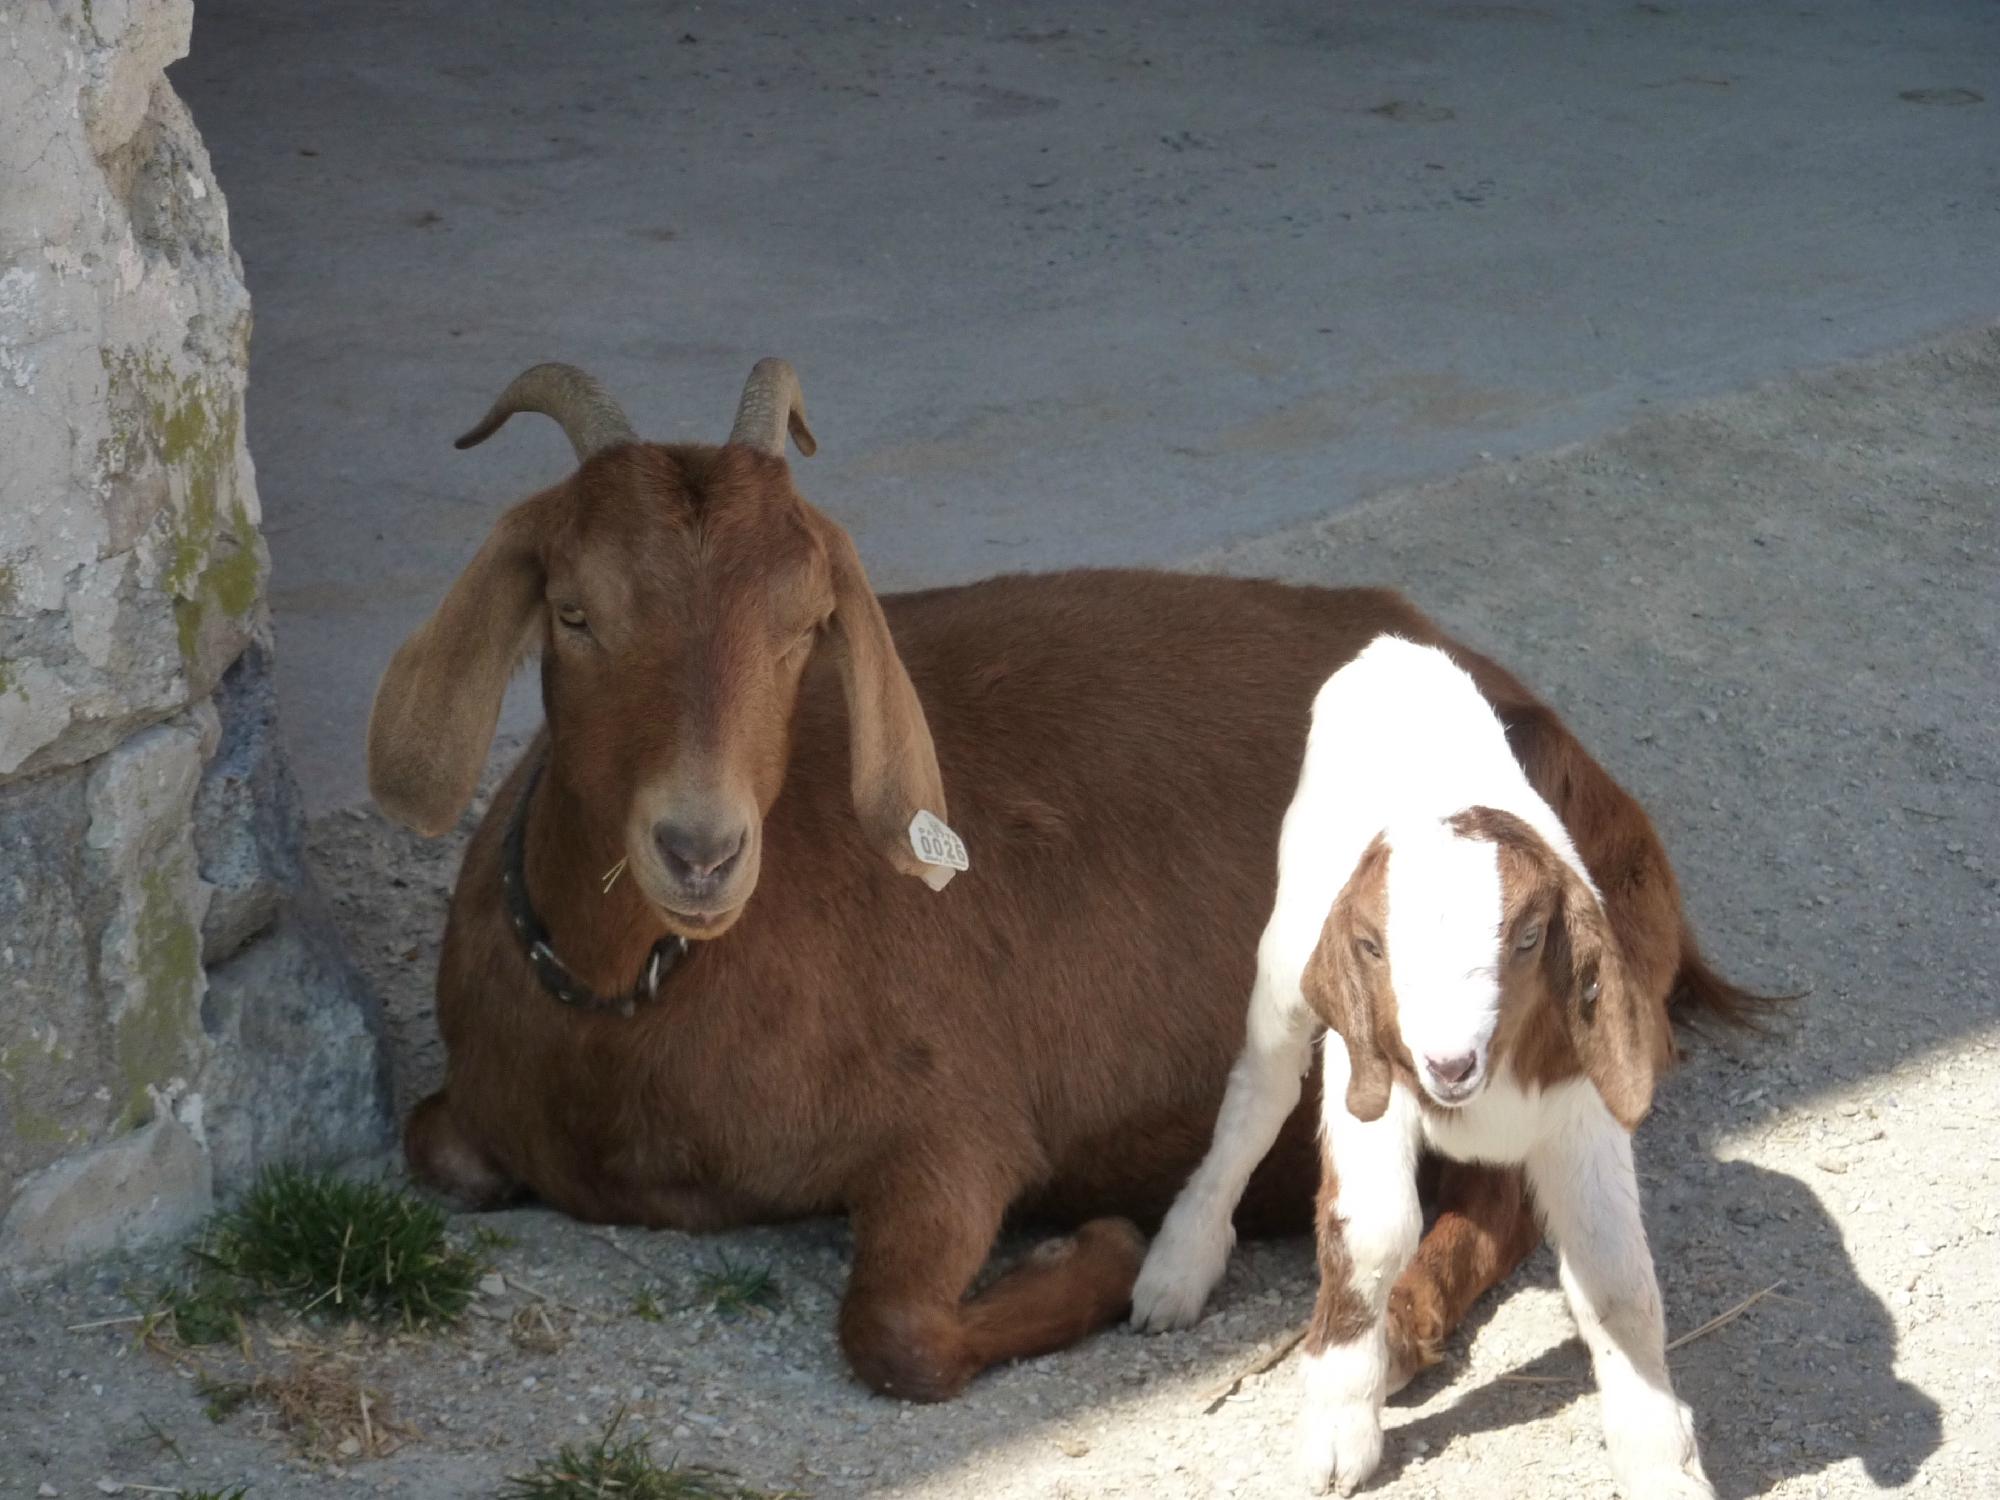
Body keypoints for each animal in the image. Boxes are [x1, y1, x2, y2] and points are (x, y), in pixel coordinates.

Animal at [368, 358, 1760, 1408]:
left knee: (1502, 1191)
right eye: (573, 611)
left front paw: (1098, 1252)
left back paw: (1391, 1327)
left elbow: (897, 1333)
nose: (701, 851)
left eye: (805, 623)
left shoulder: (953, 1124)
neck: (628, 1011)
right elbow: (436, 1148)